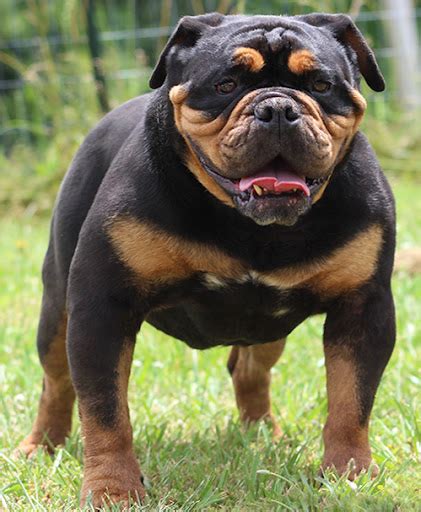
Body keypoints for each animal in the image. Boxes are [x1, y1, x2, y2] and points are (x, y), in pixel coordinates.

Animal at [18, 12, 396, 508]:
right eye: (226, 84)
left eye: (320, 84)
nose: (278, 108)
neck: (250, 225)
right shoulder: (102, 306)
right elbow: (105, 410)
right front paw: (112, 490)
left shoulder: (363, 308)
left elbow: (352, 400)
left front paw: (348, 475)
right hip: (57, 306)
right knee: (57, 381)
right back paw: (41, 445)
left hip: (267, 328)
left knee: (250, 368)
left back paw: (263, 435)